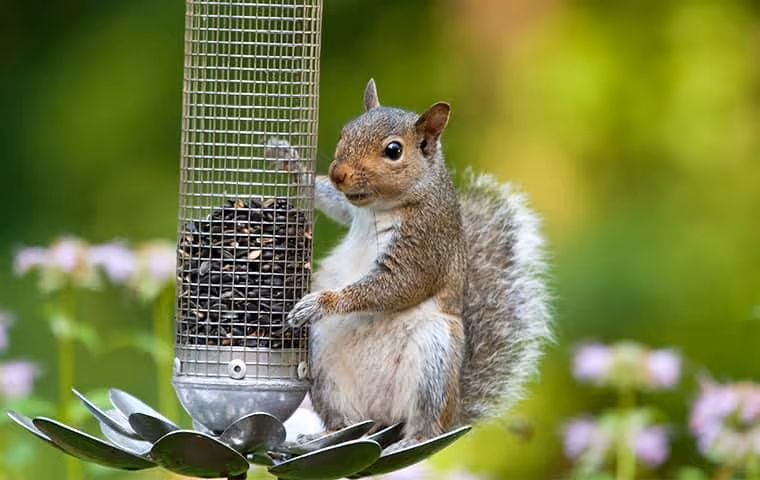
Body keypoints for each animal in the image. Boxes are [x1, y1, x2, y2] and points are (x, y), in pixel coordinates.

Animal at [272, 79, 552, 446]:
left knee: (425, 421)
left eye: (394, 151)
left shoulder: (425, 245)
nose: (338, 174)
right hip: (323, 362)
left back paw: (411, 439)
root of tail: (381, 417)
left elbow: (397, 285)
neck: (381, 206)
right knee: (347, 421)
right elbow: (333, 202)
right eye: (345, 132)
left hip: (434, 355)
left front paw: (321, 302)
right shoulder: (351, 209)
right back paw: (327, 434)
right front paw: (290, 162)